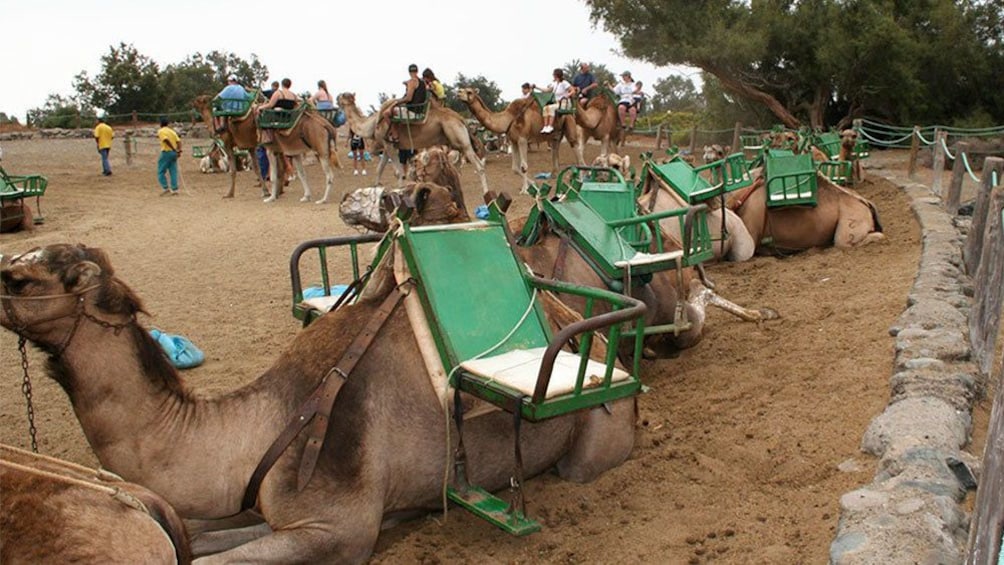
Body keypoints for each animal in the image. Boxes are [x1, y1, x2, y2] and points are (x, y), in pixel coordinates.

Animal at [339, 93, 491, 194]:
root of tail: (460, 118)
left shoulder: (390, 145)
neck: (372, 124)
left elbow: (399, 172)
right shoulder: (387, 147)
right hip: (456, 142)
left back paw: (486, 192)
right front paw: (376, 189)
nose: (337, 98)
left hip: (459, 139)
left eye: (343, 95)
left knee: (478, 165)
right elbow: (379, 169)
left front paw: (399, 192)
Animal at [457, 87, 586, 191]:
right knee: (555, 150)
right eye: (463, 89)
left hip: (569, 124)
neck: (508, 118)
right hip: (556, 135)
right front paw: (533, 184)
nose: (458, 92)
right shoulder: (513, 141)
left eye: (469, 91)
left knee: (578, 154)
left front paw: (525, 189)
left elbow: (524, 166)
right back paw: (555, 176)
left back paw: (581, 180)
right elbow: (515, 168)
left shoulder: (522, 139)